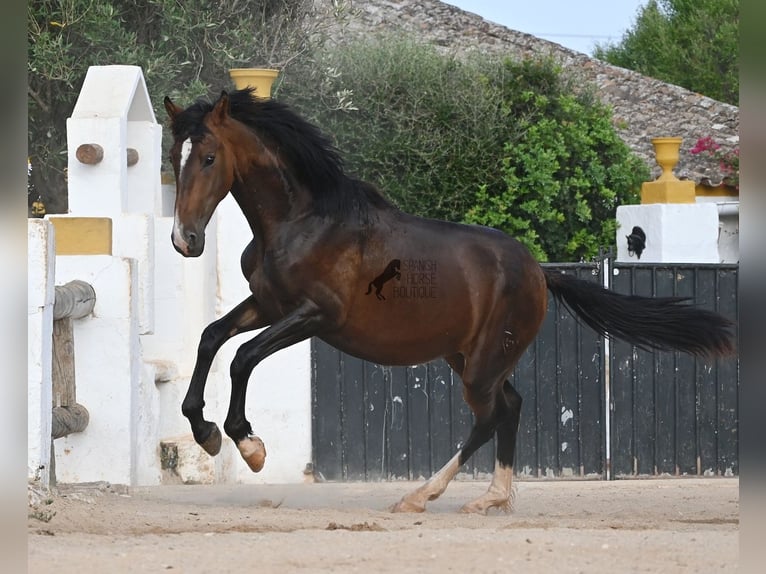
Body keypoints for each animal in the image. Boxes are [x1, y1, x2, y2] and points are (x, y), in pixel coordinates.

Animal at [163, 88, 735, 514]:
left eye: (209, 158)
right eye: (173, 157)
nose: (184, 241)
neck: (304, 221)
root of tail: (539, 272)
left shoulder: (315, 315)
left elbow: (243, 356)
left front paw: (247, 445)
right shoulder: (270, 305)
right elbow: (211, 338)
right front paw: (204, 430)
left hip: (481, 365)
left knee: (489, 416)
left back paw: (421, 495)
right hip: (469, 357)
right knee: (511, 407)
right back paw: (491, 498)